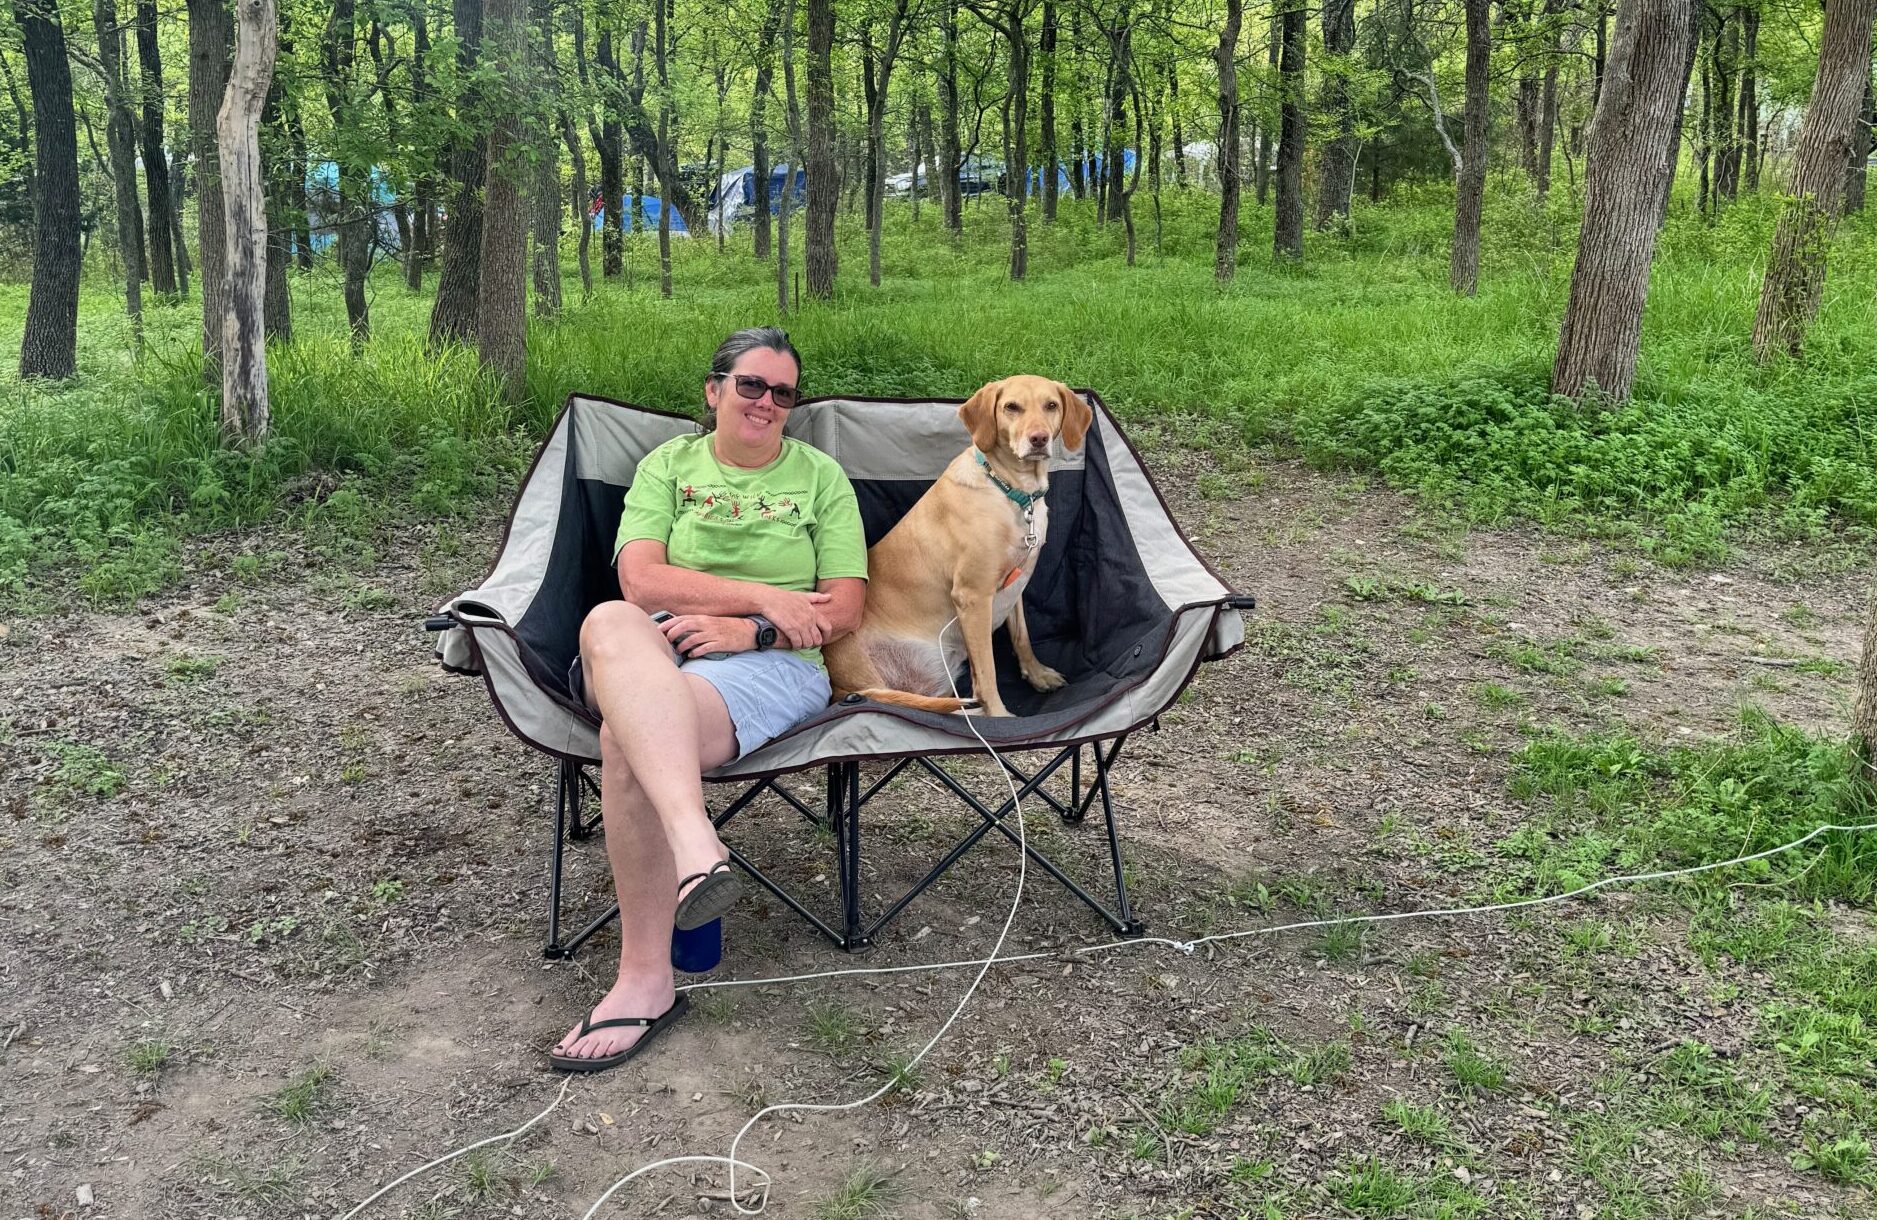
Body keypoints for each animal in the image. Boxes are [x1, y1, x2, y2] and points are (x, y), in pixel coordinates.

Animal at [829, 369, 1096, 713]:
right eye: (1012, 407)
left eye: (1051, 405)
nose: (1038, 439)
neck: (1013, 492)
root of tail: (838, 688)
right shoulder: (973, 596)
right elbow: (987, 673)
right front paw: (1000, 715)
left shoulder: (1015, 582)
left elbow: (1021, 636)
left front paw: (1037, 675)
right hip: (873, 679)